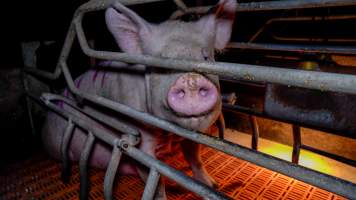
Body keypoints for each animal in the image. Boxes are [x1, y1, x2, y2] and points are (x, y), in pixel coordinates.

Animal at [42, 0, 236, 198]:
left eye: (206, 57)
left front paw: (213, 186)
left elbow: (194, 157)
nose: (191, 80)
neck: (168, 133)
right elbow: (155, 179)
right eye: (160, 64)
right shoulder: (139, 134)